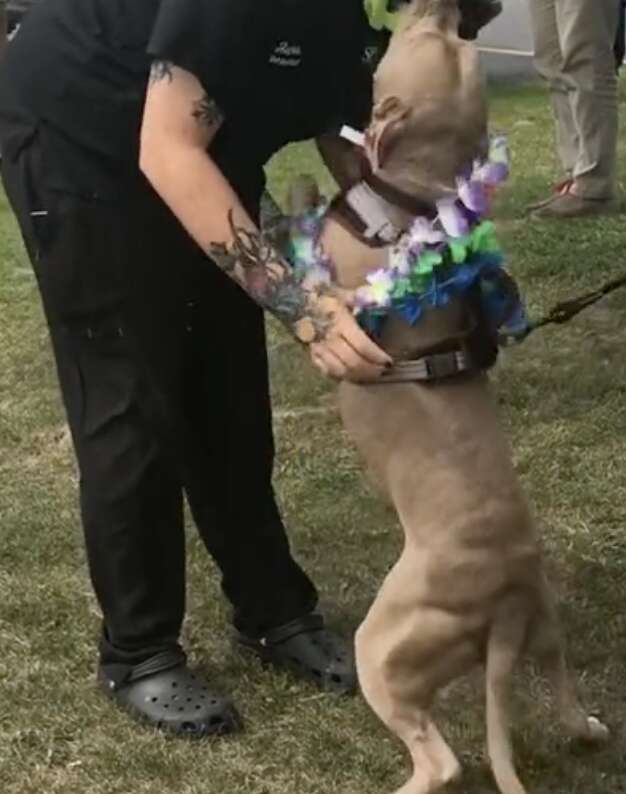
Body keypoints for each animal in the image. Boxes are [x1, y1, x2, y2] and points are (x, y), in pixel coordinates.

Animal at [286, 1, 608, 792]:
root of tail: (505, 601)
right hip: (546, 630)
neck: (419, 197)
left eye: (418, 41)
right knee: (563, 696)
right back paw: (584, 726)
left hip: (383, 647)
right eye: (449, 41)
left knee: (442, 763)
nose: (443, 8)